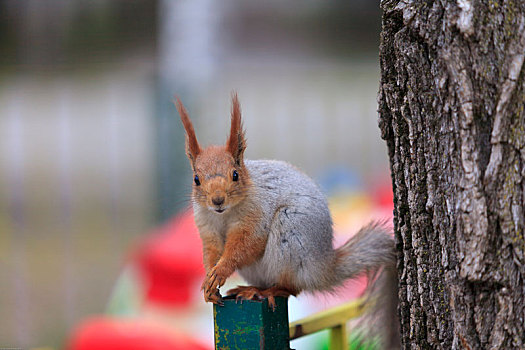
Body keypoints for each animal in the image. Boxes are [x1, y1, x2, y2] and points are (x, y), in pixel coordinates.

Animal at [175, 93, 398, 348]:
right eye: (196, 179)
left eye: (235, 174)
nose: (217, 200)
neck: (225, 214)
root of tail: (322, 266)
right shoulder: (206, 227)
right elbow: (211, 252)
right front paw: (209, 281)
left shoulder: (256, 216)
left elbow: (245, 246)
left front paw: (221, 271)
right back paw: (251, 288)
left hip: (290, 236)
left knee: (292, 288)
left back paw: (267, 292)